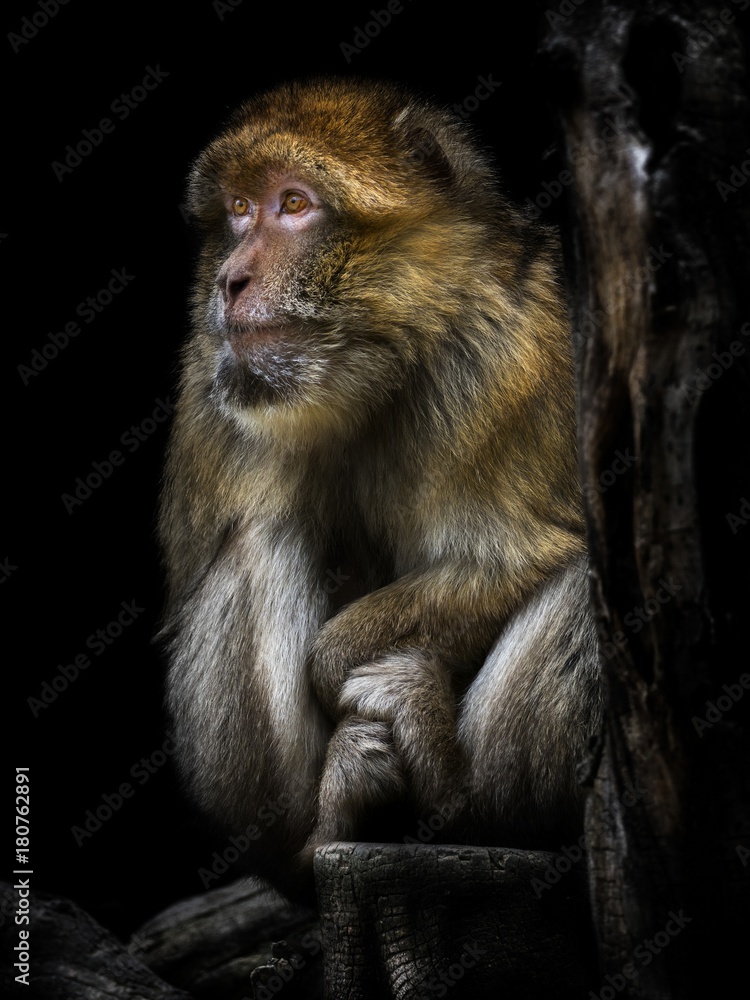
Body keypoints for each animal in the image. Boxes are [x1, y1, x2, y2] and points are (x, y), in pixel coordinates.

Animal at [159, 76, 603, 902]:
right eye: (238, 208)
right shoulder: (217, 379)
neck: (382, 356)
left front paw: (339, 665)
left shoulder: (510, 353)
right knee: (258, 540)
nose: (230, 280)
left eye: (294, 205)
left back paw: (464, 805)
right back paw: (324, 830)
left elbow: (518, 555)